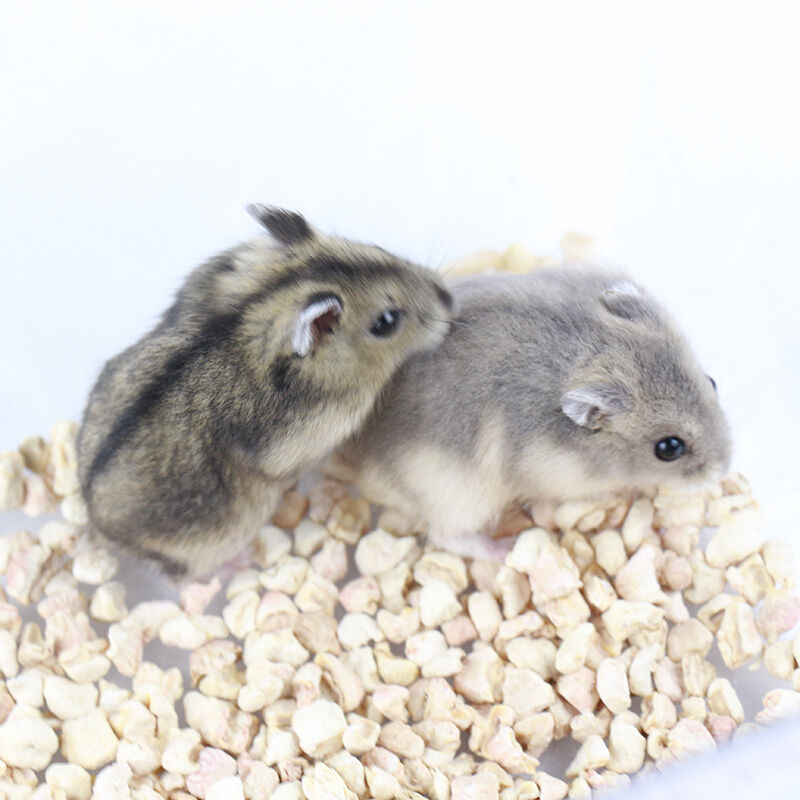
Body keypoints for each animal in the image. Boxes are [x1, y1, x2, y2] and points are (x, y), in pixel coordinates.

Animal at [77, 205, 453, 577]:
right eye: (386, 322)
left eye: (379, 249)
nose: (449, 301)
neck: (266, 305)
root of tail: (94, 521)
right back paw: (242, 561)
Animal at [333, 267, 732, 559]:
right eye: (668, 448)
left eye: (712, 382)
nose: (724, 471)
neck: (593, 351)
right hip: (458, 497)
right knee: (446, 536)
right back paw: (505, 550)